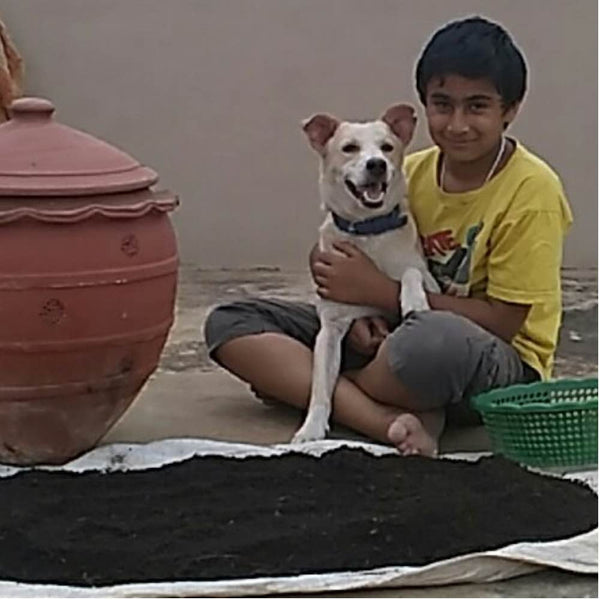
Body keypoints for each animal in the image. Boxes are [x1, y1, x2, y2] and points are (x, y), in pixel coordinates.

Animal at [292, 103, 438, 442]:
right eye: (349, 148)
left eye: (387, 147)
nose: (376, 165)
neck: (368, 230)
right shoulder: (330, 329)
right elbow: (320, 389)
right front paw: (311, 429)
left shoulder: (431, 281)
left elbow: (411, 272)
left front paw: (414, 300)